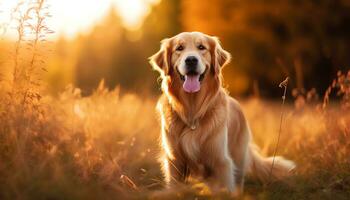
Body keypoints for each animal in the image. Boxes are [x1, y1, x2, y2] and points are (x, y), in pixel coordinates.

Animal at [148, 32, 296, 195]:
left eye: (201, 47)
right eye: (179, 48)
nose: (191, 60)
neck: (193, 110)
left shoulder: (221, 160)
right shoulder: (174, 160)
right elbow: (174, 186)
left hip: (238, 156)